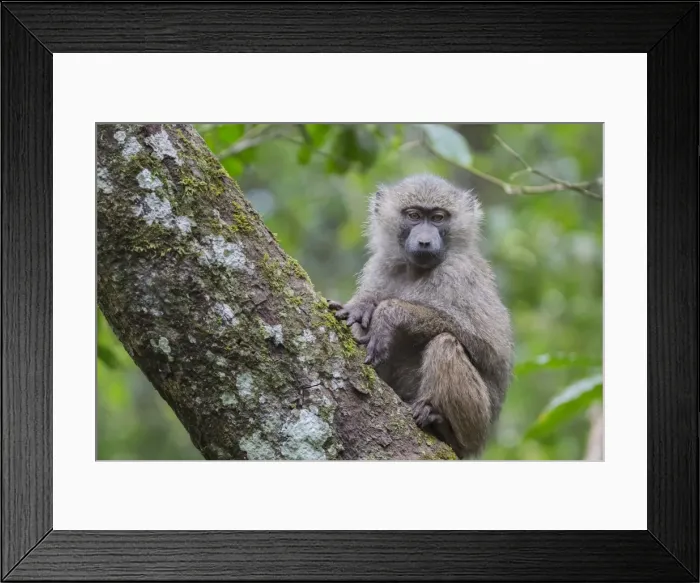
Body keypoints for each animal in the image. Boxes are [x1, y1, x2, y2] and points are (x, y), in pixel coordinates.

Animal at [329, 173, 514, 459]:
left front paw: (389, 314)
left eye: (438, 218)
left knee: (445, 344)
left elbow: (490, 348)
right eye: (414, 216)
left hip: (479, 426)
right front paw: (362, 305)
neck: (415, 270)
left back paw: (441, 424)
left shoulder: (457, 273)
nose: (425, 242)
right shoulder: (381, 265)